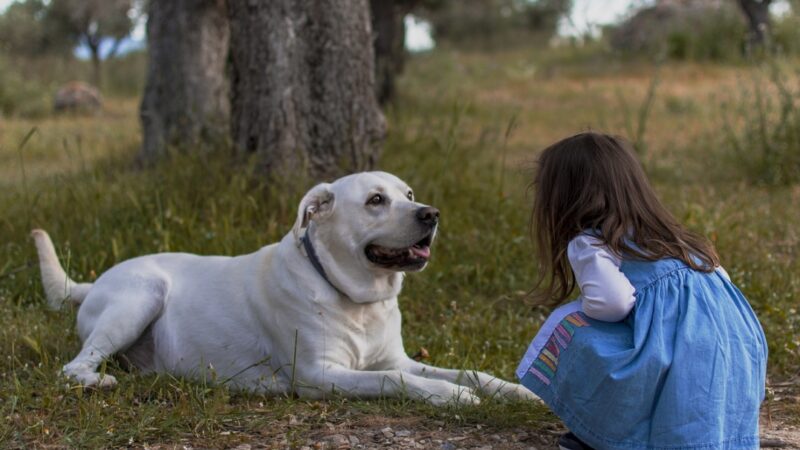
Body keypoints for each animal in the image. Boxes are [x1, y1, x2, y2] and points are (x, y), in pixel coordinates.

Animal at [36, 171, 536, 404]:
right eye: (376, 200)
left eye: (409, 195)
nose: (431, 214)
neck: (357, 299)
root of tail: (93, 282)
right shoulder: (320, 375)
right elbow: (394, 380)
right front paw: (451, 397)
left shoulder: (397, 358)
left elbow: (468, 372)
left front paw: (515, 391)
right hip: (141, 296)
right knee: (73, 366)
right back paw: (96, 381)